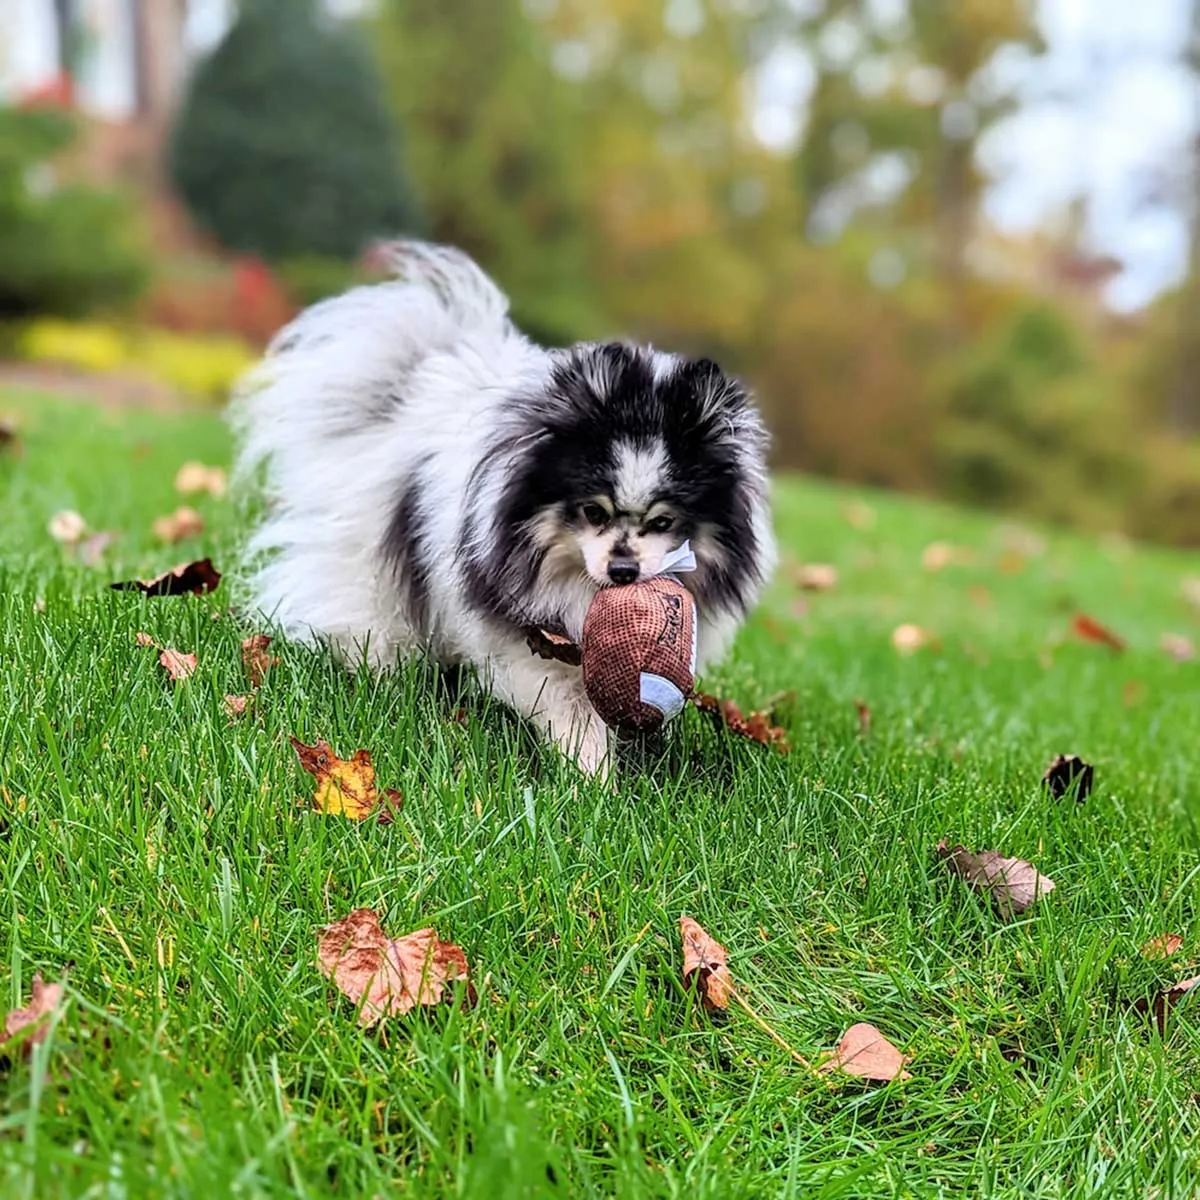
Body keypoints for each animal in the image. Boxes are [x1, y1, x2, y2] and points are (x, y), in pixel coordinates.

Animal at [231, 238, 777, 772]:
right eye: (594, 512)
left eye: (664, 521)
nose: (623, 570)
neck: (578, 586)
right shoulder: (527, 634)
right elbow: (566, 701)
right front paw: (590, 771)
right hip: (367, 558)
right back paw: (373, 669)